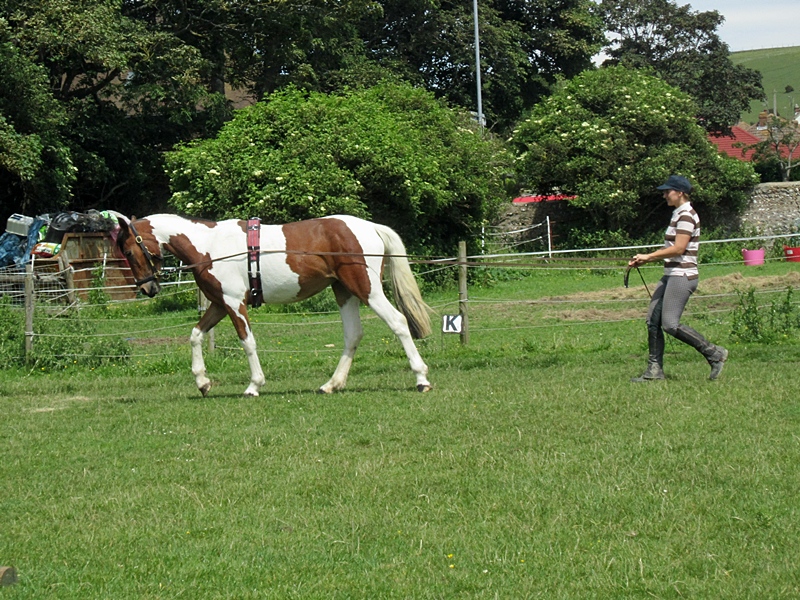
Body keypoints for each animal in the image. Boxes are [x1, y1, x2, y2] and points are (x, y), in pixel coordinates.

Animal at [115, 213, 432, 396]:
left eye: (128, 251)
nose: (147, 288)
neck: (209, 245)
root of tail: (370, 227)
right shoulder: (219, 304)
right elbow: (195, 336)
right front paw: (202, 382)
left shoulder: (234, 304)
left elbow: (247, 343)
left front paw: (254, 385)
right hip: (344, 291)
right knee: (353, 335)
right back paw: (332, 384)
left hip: (367, 289)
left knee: (398, 323)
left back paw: (421, 378)